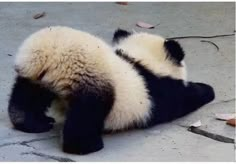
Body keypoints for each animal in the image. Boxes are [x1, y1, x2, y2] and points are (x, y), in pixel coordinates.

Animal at [7, 26, 215, 155]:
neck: (141, 59)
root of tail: (48, 58)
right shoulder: (159, 91)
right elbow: (181, 100)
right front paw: (207, 90)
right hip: (91, 81)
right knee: (86, 114)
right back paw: (87, 146)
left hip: (37, 78)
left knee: (26, 96)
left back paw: (33, 122)